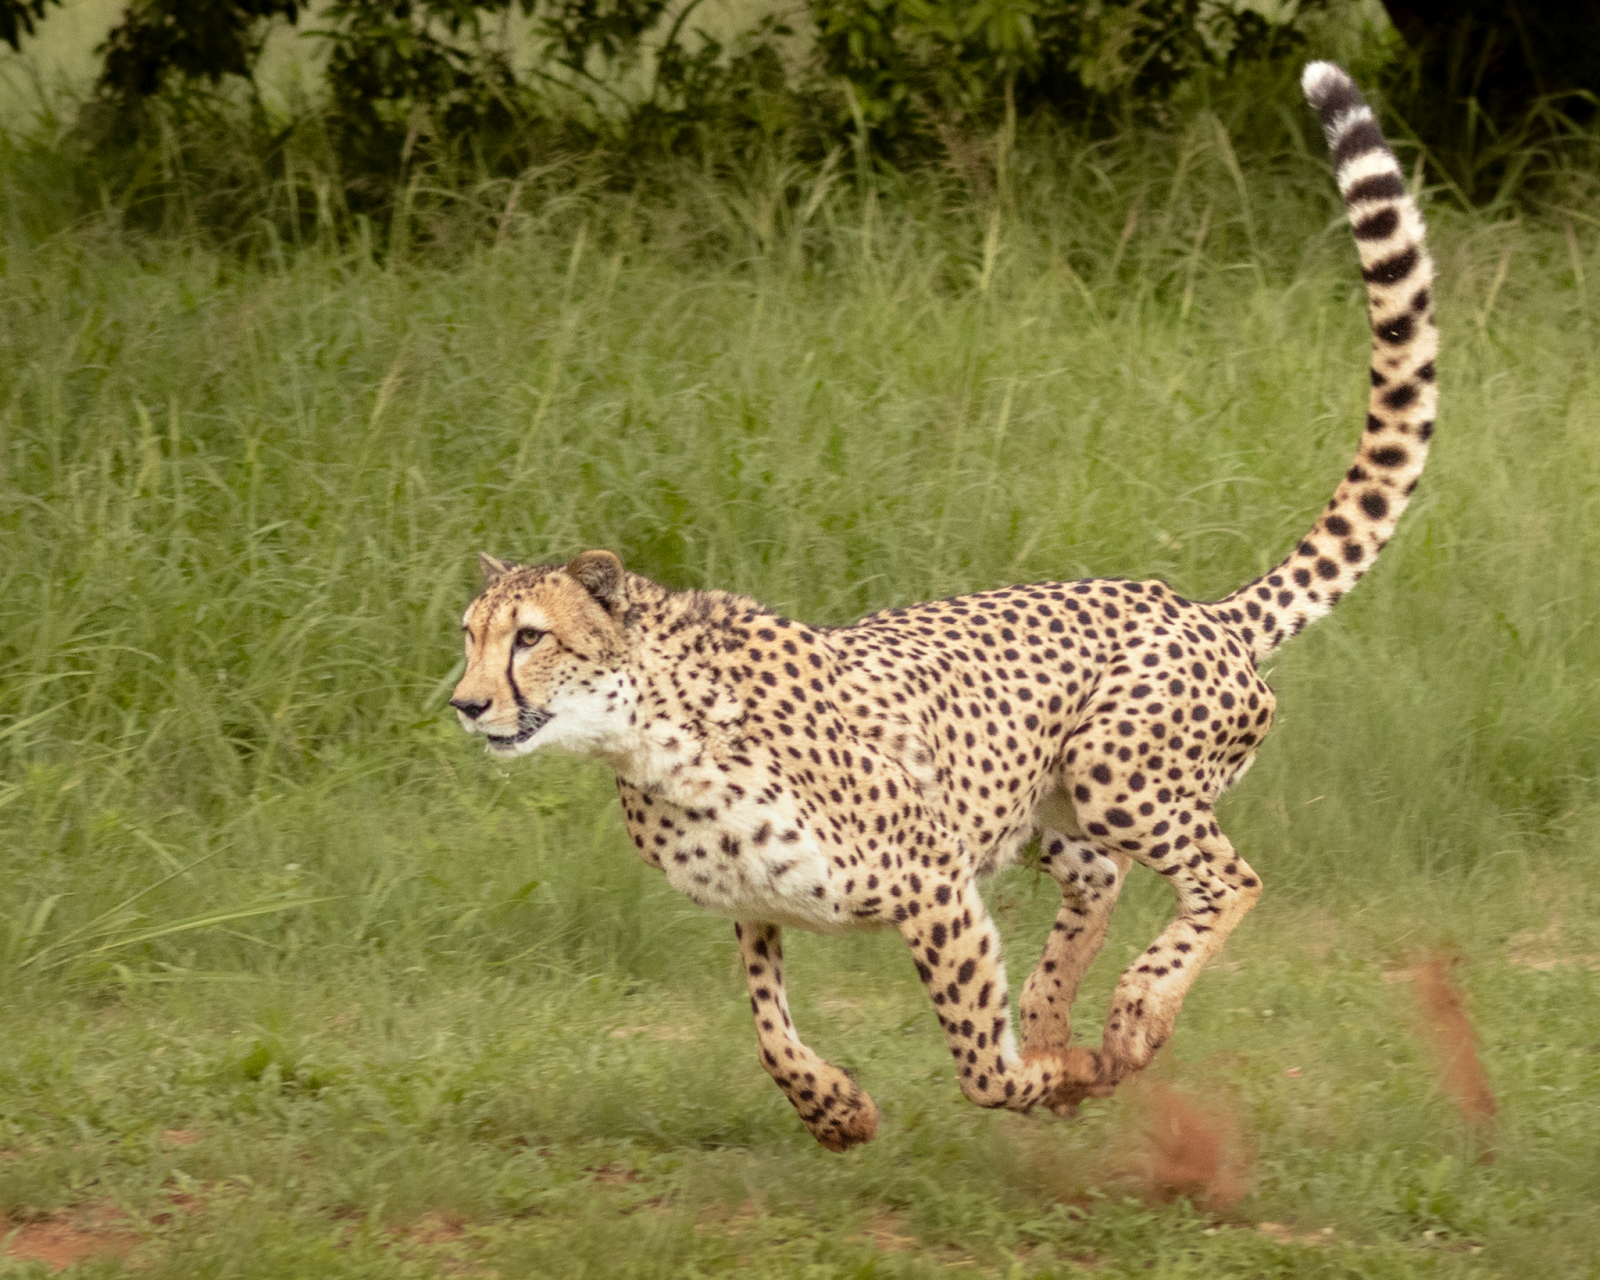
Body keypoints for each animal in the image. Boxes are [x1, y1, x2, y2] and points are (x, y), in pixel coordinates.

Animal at [448, 63, 1437, 1152]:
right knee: (1101, 879)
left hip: (1115, 773)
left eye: (529, 638)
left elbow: (975, 1057)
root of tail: (1192, 606)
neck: (651, 741)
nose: (464, 703)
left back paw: (1130, 1015)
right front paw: (836, 1106)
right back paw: (1055, 1013)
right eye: (467, 638)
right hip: (1048, 798)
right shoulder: (762, 904)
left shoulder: (932, 880)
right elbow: (765, 1020)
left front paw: (1049, 1079)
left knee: (1229, 879)